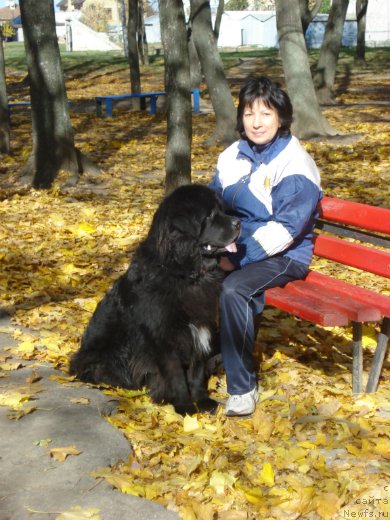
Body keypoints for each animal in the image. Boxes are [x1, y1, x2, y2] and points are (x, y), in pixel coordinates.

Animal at [70, 185, 241, 412]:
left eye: (222, 210)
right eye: (210, 215)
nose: (238, 223)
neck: (185, 274)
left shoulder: (200, 327)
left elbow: (197, 371)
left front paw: (202, 401)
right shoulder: (164, 337)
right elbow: (176, 376)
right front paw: (184, 407)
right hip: (109, 354)